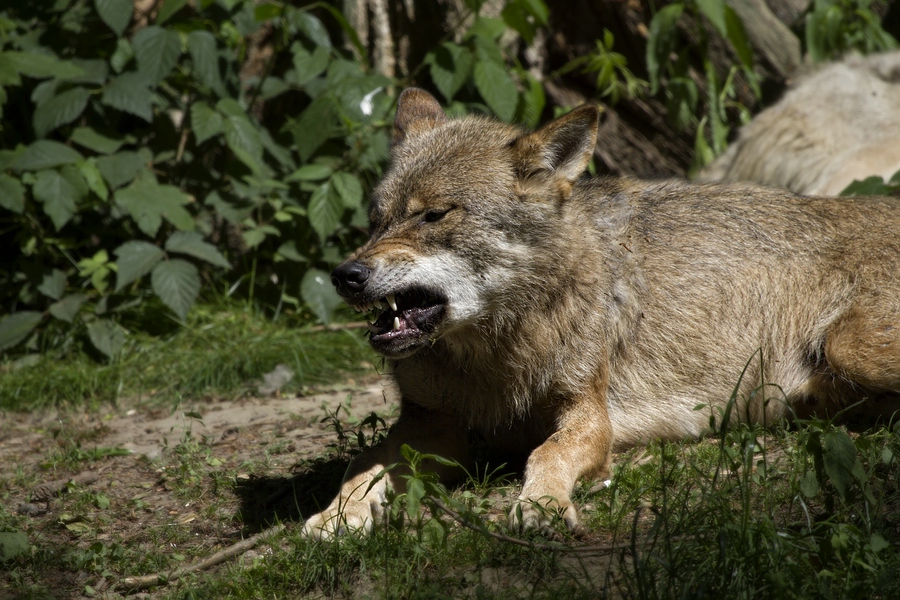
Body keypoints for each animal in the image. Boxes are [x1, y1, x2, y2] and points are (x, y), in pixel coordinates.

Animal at [302, 85, 900, 540]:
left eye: (433, 216)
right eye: (376, 219)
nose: (345, 275)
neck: (495, 359)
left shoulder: (589, 416)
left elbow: (545, 454)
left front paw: (540, 505)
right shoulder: (432, 427)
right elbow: (360, 468)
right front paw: (335, 517)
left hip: (851, 351)